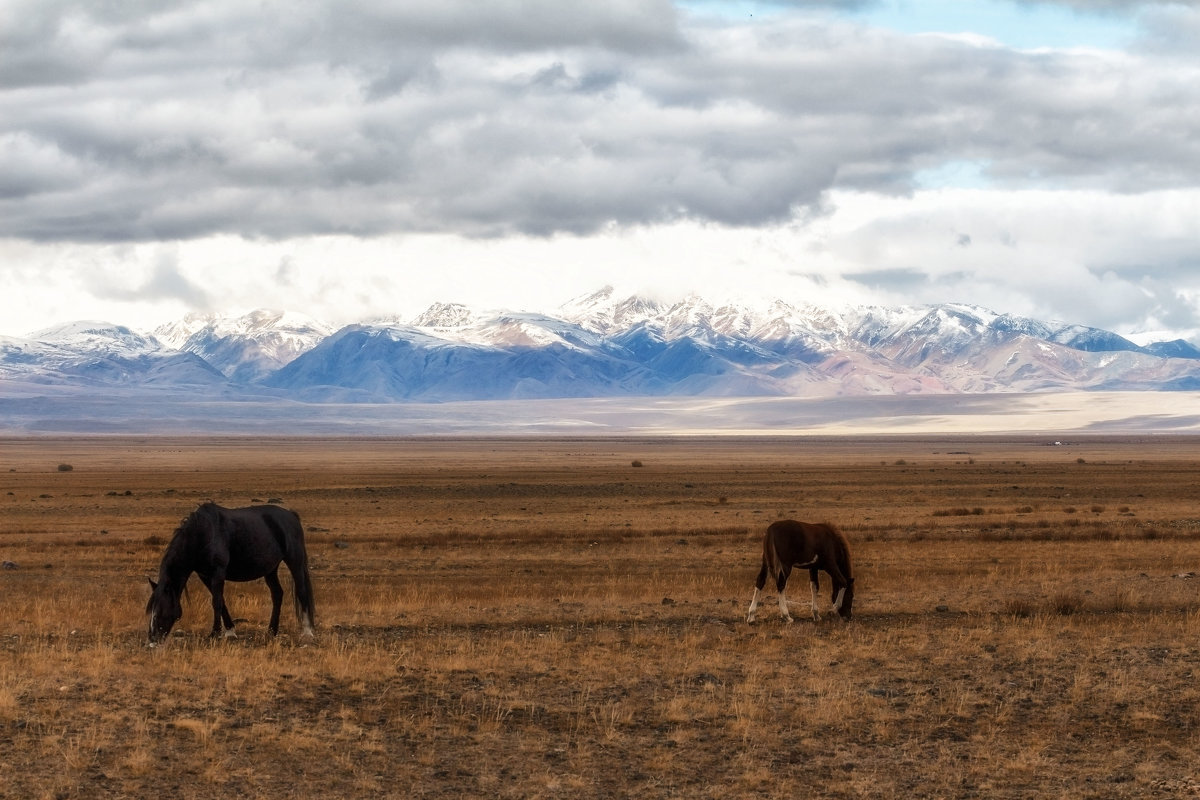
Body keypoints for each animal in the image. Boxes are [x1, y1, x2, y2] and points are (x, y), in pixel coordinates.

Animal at [145, 503, 316, 647]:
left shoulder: (218, 572)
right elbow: (222, 601)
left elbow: (216, 602)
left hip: (295, 562)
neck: (203, 534)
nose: (152, 639)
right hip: (270, 569)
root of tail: (291, 515)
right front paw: (230, 631)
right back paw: (271, 631)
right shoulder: (205, 575)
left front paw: (214, 633)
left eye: (159, 611)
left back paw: (307, 631)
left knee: (301, 591)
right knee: (277, 594)